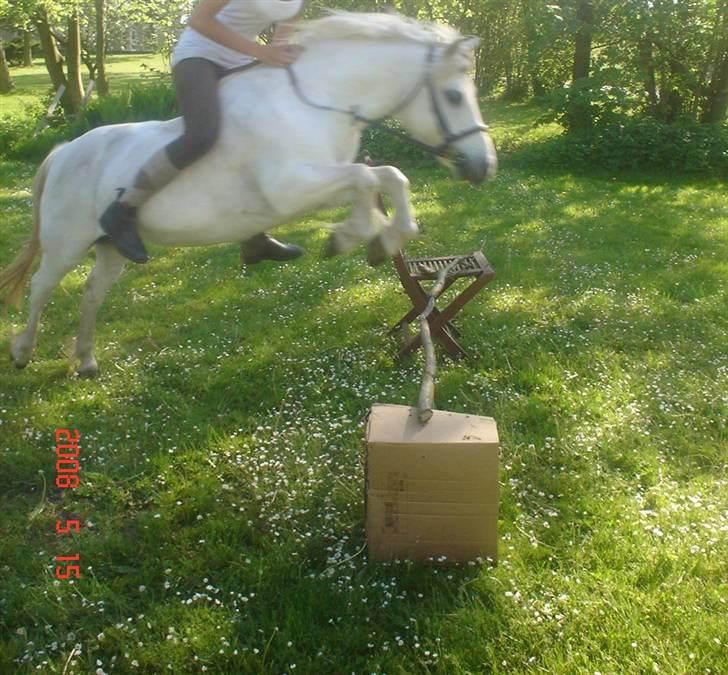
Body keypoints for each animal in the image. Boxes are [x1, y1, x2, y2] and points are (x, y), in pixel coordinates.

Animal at [0, 11, 496, 377]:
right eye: (454, 96)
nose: (484, 165)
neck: (317, 102)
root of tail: (63, 153)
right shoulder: (294, 186)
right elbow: (375, 176)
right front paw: (369, 236)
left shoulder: (320, 183)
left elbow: (382, 179)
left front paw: (368, 238)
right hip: (66, 243)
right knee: (42, 287)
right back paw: (23, 352)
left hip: (110, 249)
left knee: (90, 294)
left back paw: (85, 361)